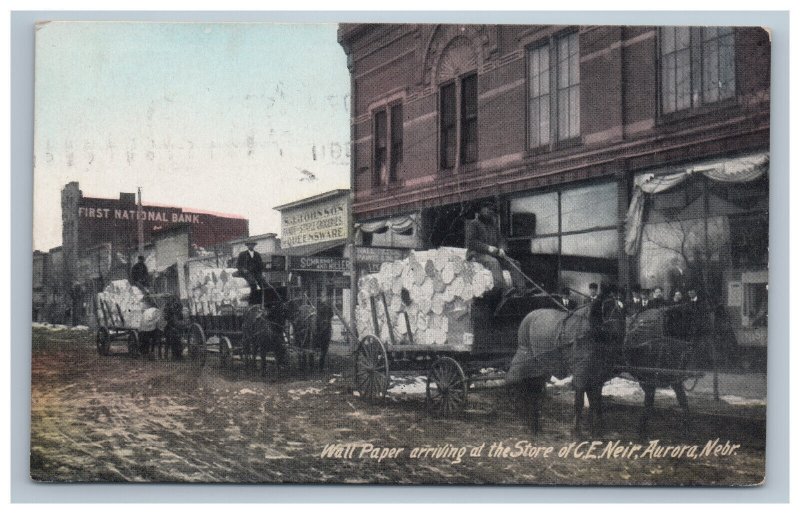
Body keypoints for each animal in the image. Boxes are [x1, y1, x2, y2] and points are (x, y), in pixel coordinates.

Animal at [506, 296, 624, 438]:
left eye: (621, 311)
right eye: (606, 310)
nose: (618, 335)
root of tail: (529, 315)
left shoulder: (597, 375)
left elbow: (596, 402)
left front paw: (597, 431)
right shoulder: (581, 373)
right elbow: (579, 402)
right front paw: (577, 432)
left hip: (541, 368)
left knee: (531, 391)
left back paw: (533, 424)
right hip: (524, 359)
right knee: (517, 384)